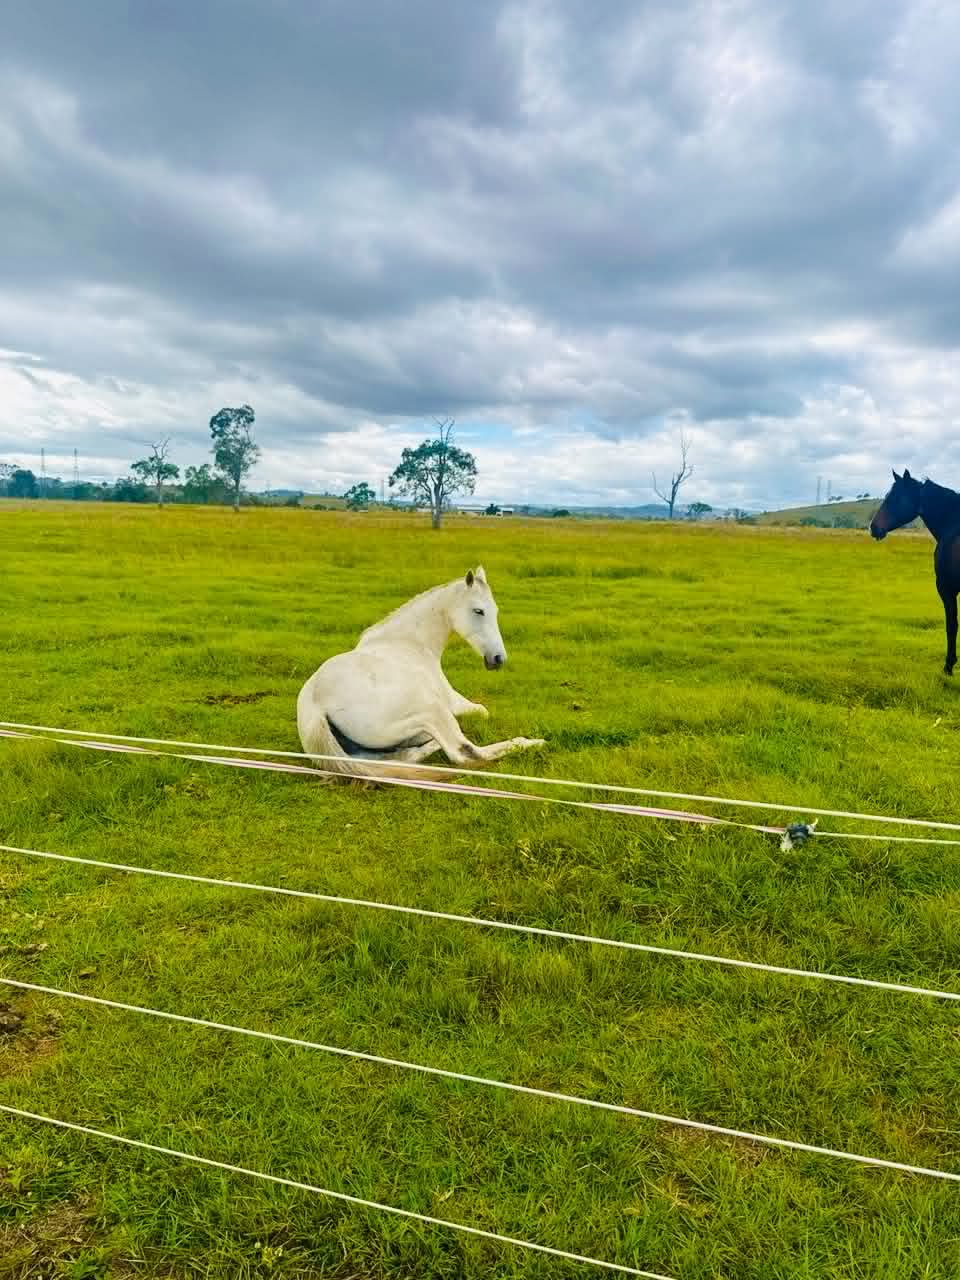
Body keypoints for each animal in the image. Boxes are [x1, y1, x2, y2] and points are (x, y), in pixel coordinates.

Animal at [297, 566, 546, 780]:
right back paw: (532, 742)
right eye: (479, 611)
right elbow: (483, 711)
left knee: (407, 757)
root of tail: (316, 708)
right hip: (432, 712)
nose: (498, 659)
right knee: (464, 753)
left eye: (495, 611)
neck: (411, 643)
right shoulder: (452, 702)